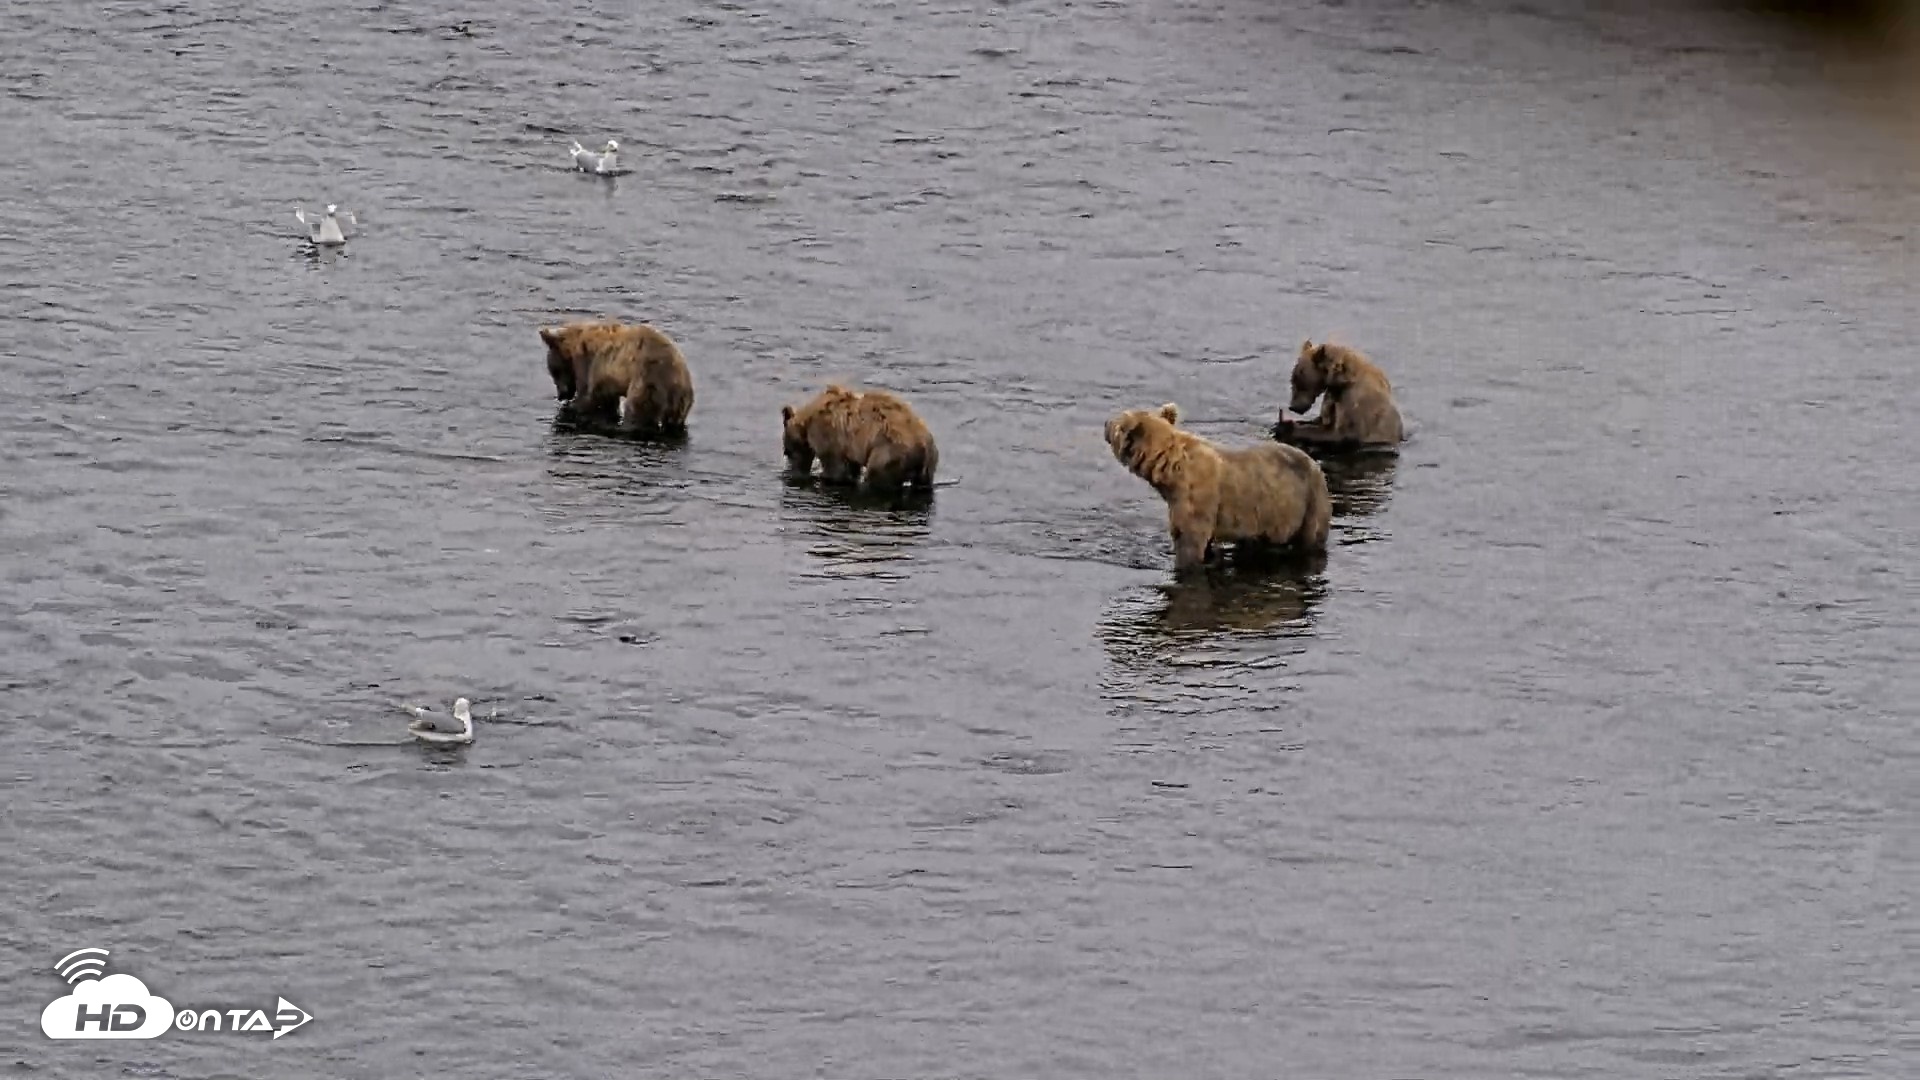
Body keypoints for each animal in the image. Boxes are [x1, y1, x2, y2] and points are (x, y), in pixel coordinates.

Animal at [538, 320, 694, 433]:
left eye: (554, 372)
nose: (561, 396)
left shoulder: (590, 365)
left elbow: (588, 395)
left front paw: (573, 406)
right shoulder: (606, 379)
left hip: (647, 380)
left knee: (637, 410)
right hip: (680, 403)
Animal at [780, 383, 939, 494]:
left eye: (787, 451)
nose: (793, 472)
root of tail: (922, 446)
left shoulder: (829, 436)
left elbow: (836, 468)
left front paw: (824, 476)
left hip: (887, 452)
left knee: (877, 476)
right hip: (930, 461)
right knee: (923, 483)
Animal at [1105, 402, 1331, 575]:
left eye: (1118, 421)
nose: (1106, 423)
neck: (1170, 472)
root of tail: (1317, 466)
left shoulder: (1196, 499)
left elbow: (1190, 542)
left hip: (1308, 504)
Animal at [1270, 338, 1405, 450]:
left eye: (1298, 381)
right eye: (1292, 380)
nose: (1293, 406)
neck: (1340, 381)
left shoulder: (1355, 400)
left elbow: (1342, 433)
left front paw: (1286, 427)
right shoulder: (1333, 396)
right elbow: (1323, 420)